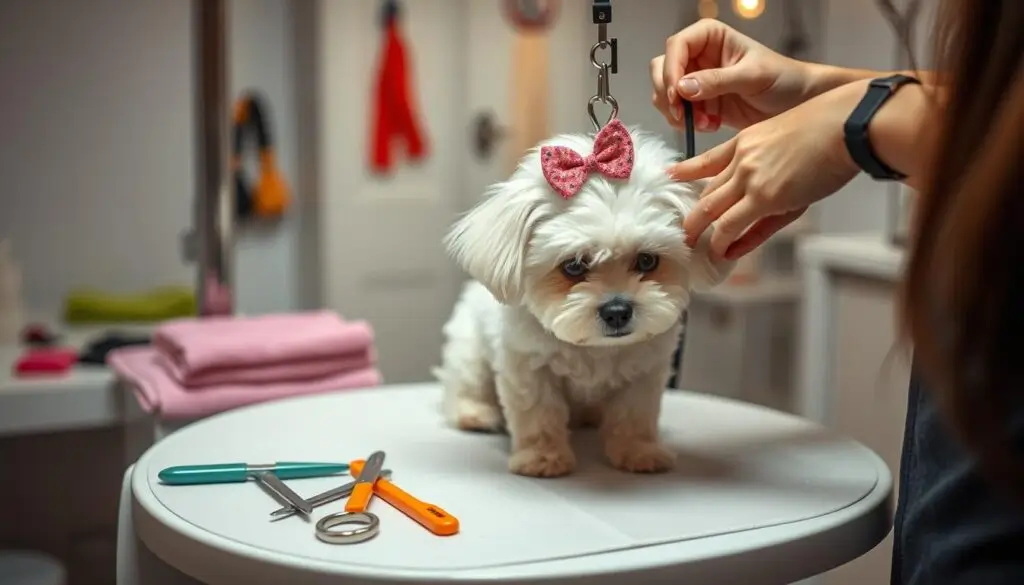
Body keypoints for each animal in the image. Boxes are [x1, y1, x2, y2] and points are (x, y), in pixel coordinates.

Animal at [436, 121, 733, 477]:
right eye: (574, 266)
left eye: (647, 261)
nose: (617, 310)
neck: (594, 348)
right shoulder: (528, 367)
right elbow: (538, 413)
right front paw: (543, 456)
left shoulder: (644, 371)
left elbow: (636, 415)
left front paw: (638, 451)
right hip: (470, 352)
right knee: (465, 384)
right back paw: (475, 413)